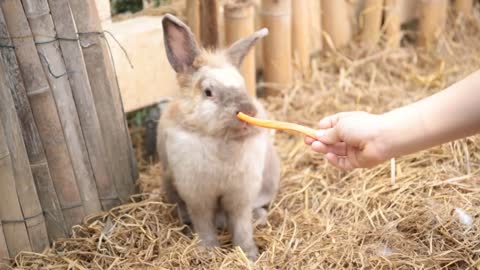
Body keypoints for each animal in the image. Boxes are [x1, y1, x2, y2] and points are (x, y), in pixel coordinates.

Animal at [158, 14, 280, 260]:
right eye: (208, 92)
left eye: (243, 86)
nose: (248, 111)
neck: (220, 139)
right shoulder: (197, 196)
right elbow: (204, 223)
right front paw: (207, 251)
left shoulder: (241, 195)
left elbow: (242, 225)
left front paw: (250, 254)